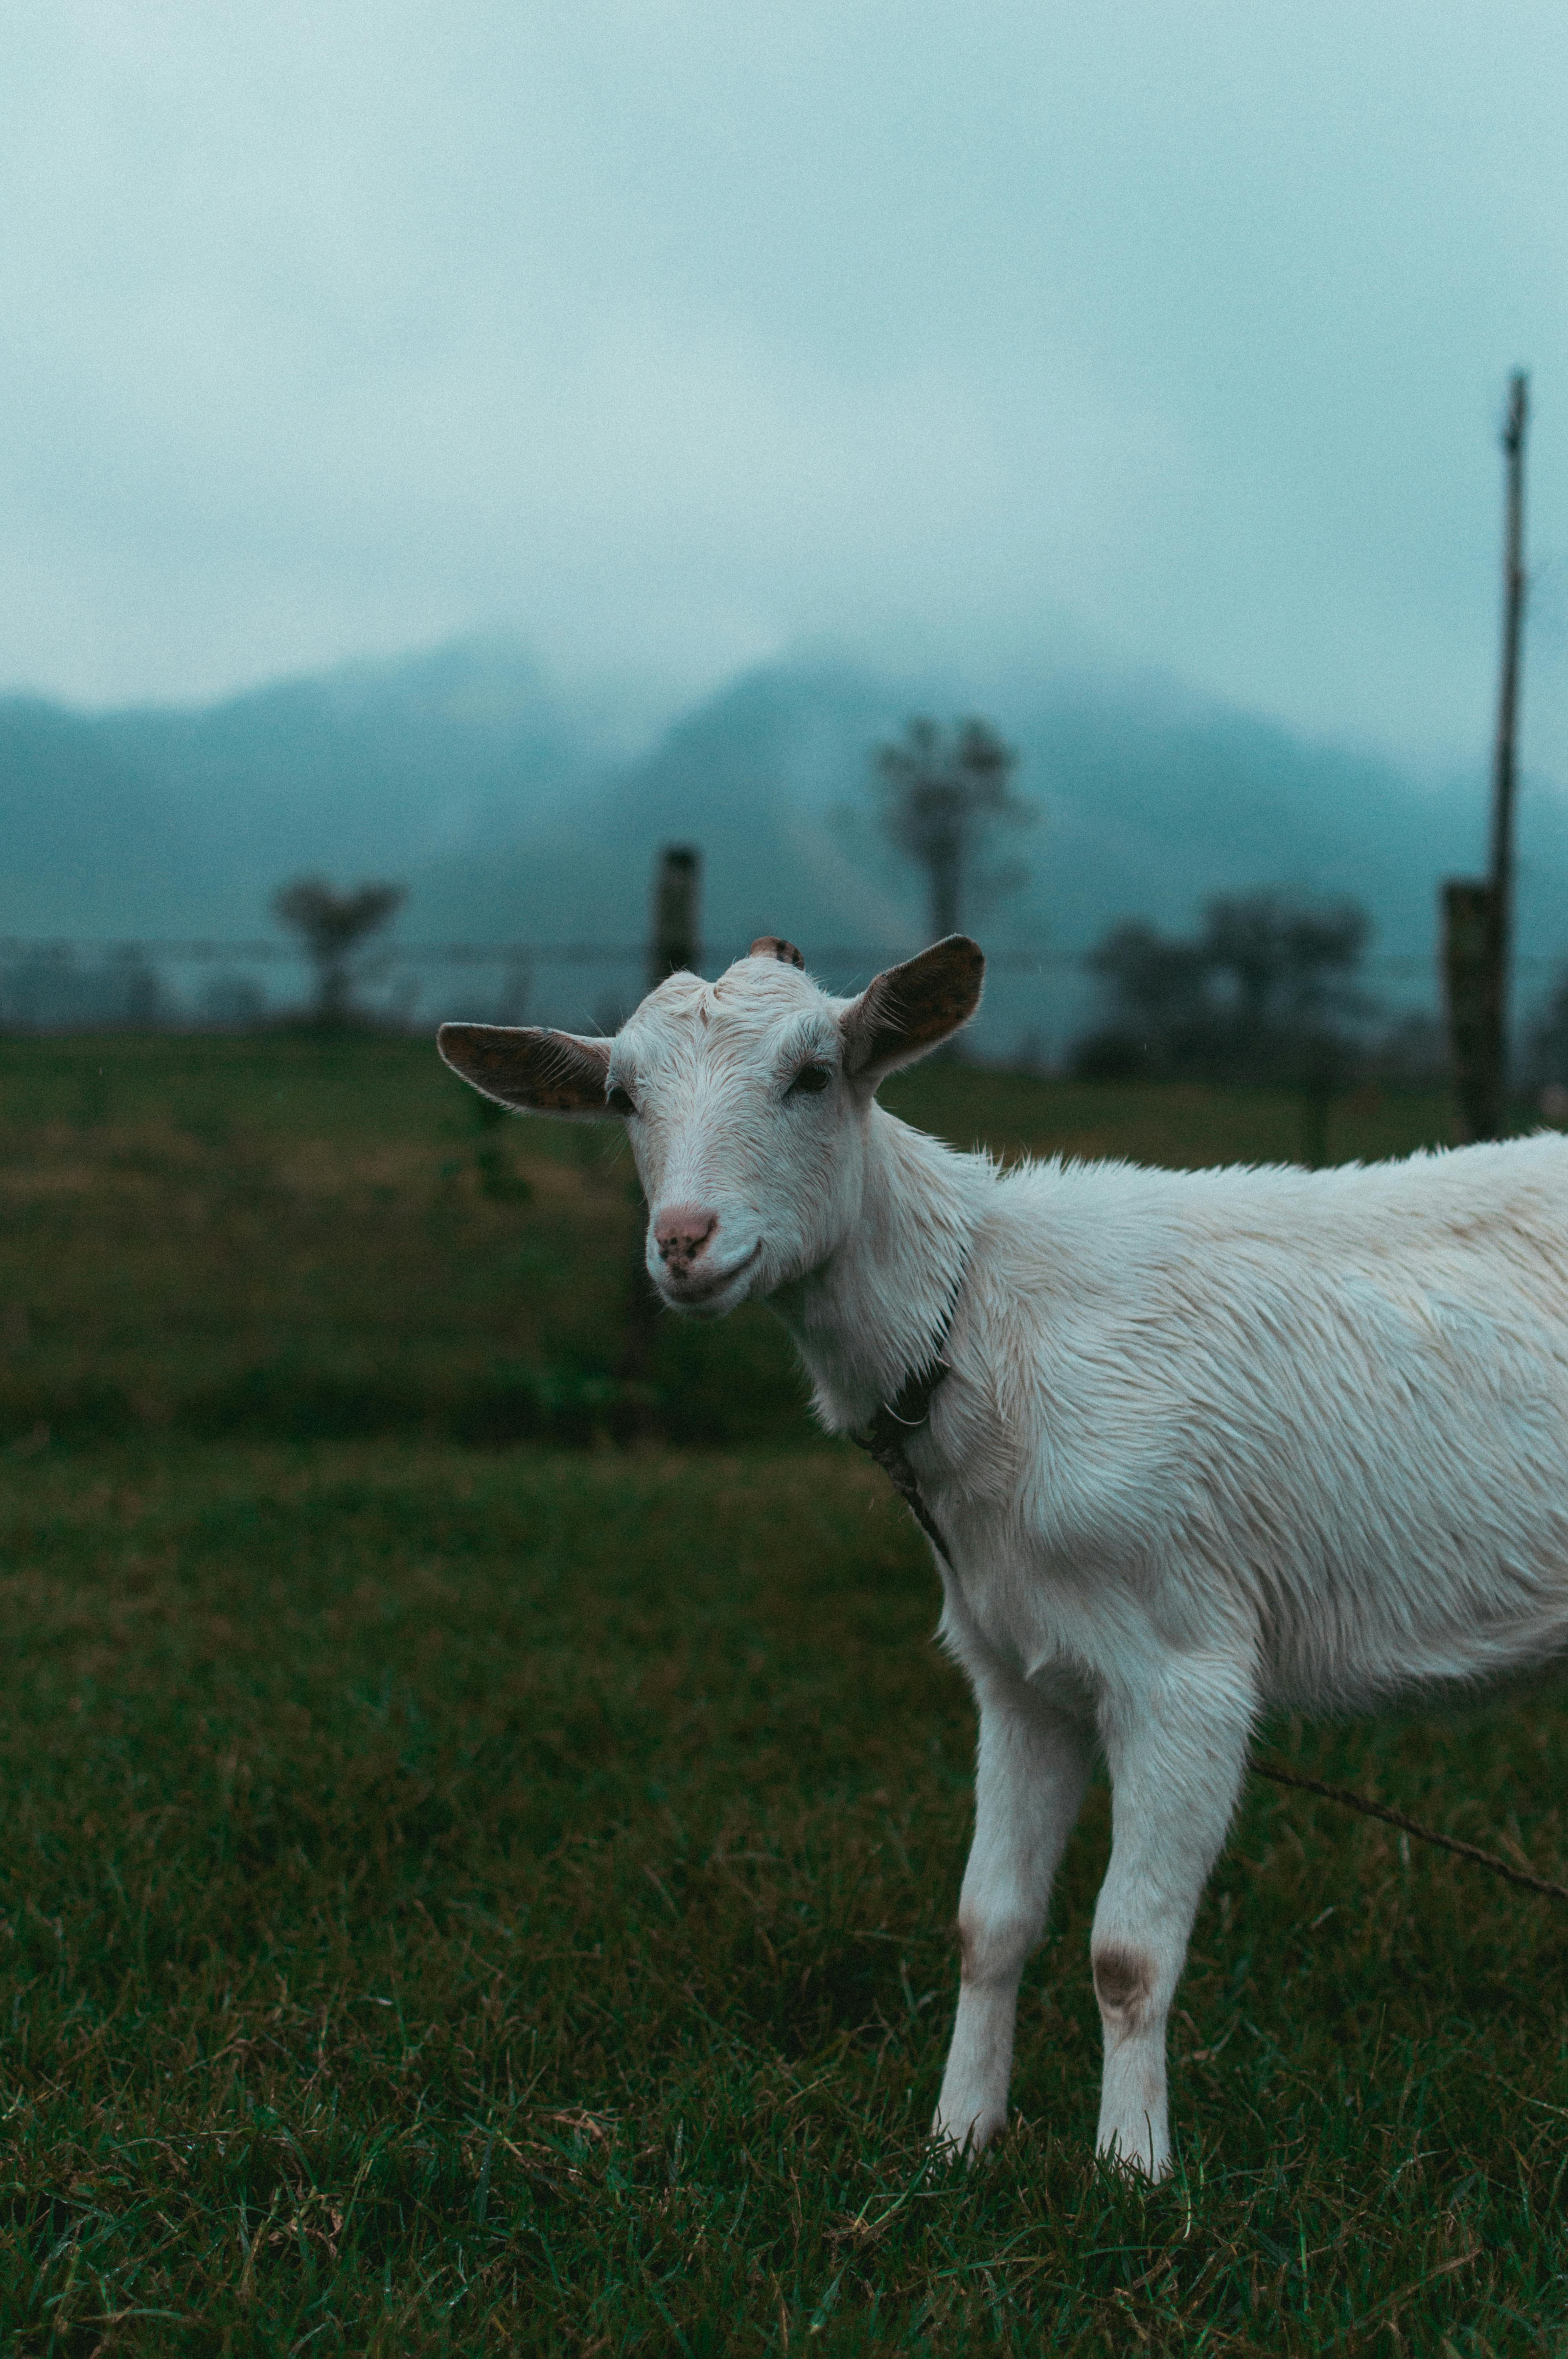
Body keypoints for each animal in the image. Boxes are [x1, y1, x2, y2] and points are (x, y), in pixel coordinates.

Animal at [439, 933, 1568, 2178]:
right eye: (624, 1098)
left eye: (814, 1075)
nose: (685, 1242)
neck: (977, 1327)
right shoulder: (1017, 1667)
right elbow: (989, 1924)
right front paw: (957, 2140)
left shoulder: (1185, 1667)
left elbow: (1126, 1953)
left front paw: (1132, 2172)